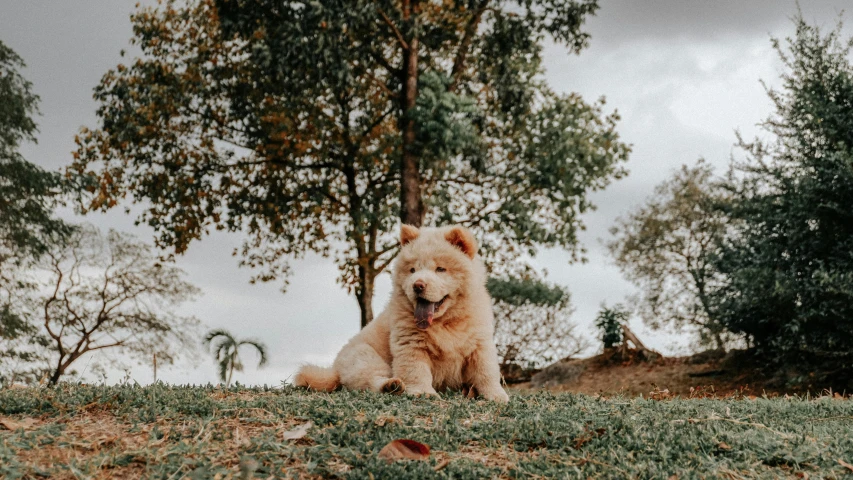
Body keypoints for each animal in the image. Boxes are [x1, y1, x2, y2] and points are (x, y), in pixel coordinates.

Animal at [292, 224, 506, 402]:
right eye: (412, 270)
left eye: (440, 269)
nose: (417, 285)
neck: (445, 322)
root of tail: (335, 369)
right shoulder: (411, 343)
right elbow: (416, 370)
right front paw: (423, 393)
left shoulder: (479, 343)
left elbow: (486, 371)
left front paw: (496, 395)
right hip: (364, 357)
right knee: (372, 380)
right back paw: (392, 386)